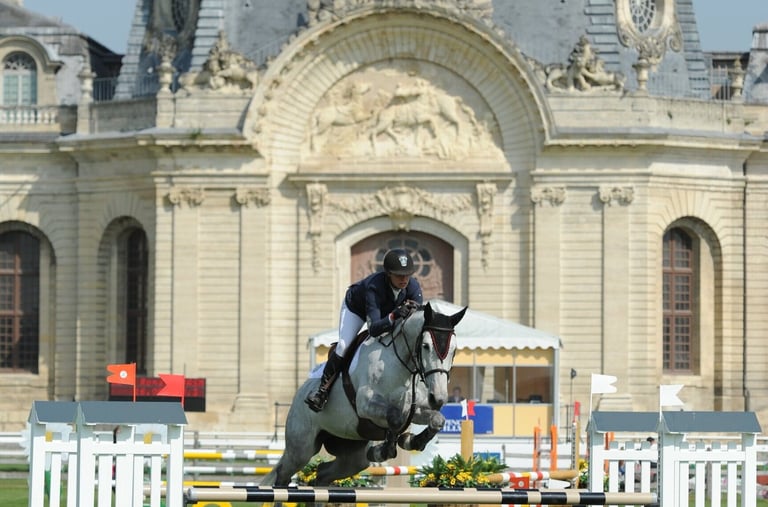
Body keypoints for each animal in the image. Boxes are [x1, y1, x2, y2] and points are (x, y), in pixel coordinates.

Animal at [262, 301, 467, 486]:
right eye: (425, 346)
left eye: (455, 350)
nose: (438, 398)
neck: (402, 366)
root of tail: (299, 393)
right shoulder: (366, 405)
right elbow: (395, 418)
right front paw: (387, 448)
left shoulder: (414, 411)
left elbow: (437, 419)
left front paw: (413, 441)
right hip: (301, 447)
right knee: (283, 476)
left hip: (351, 455)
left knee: (323, 473)